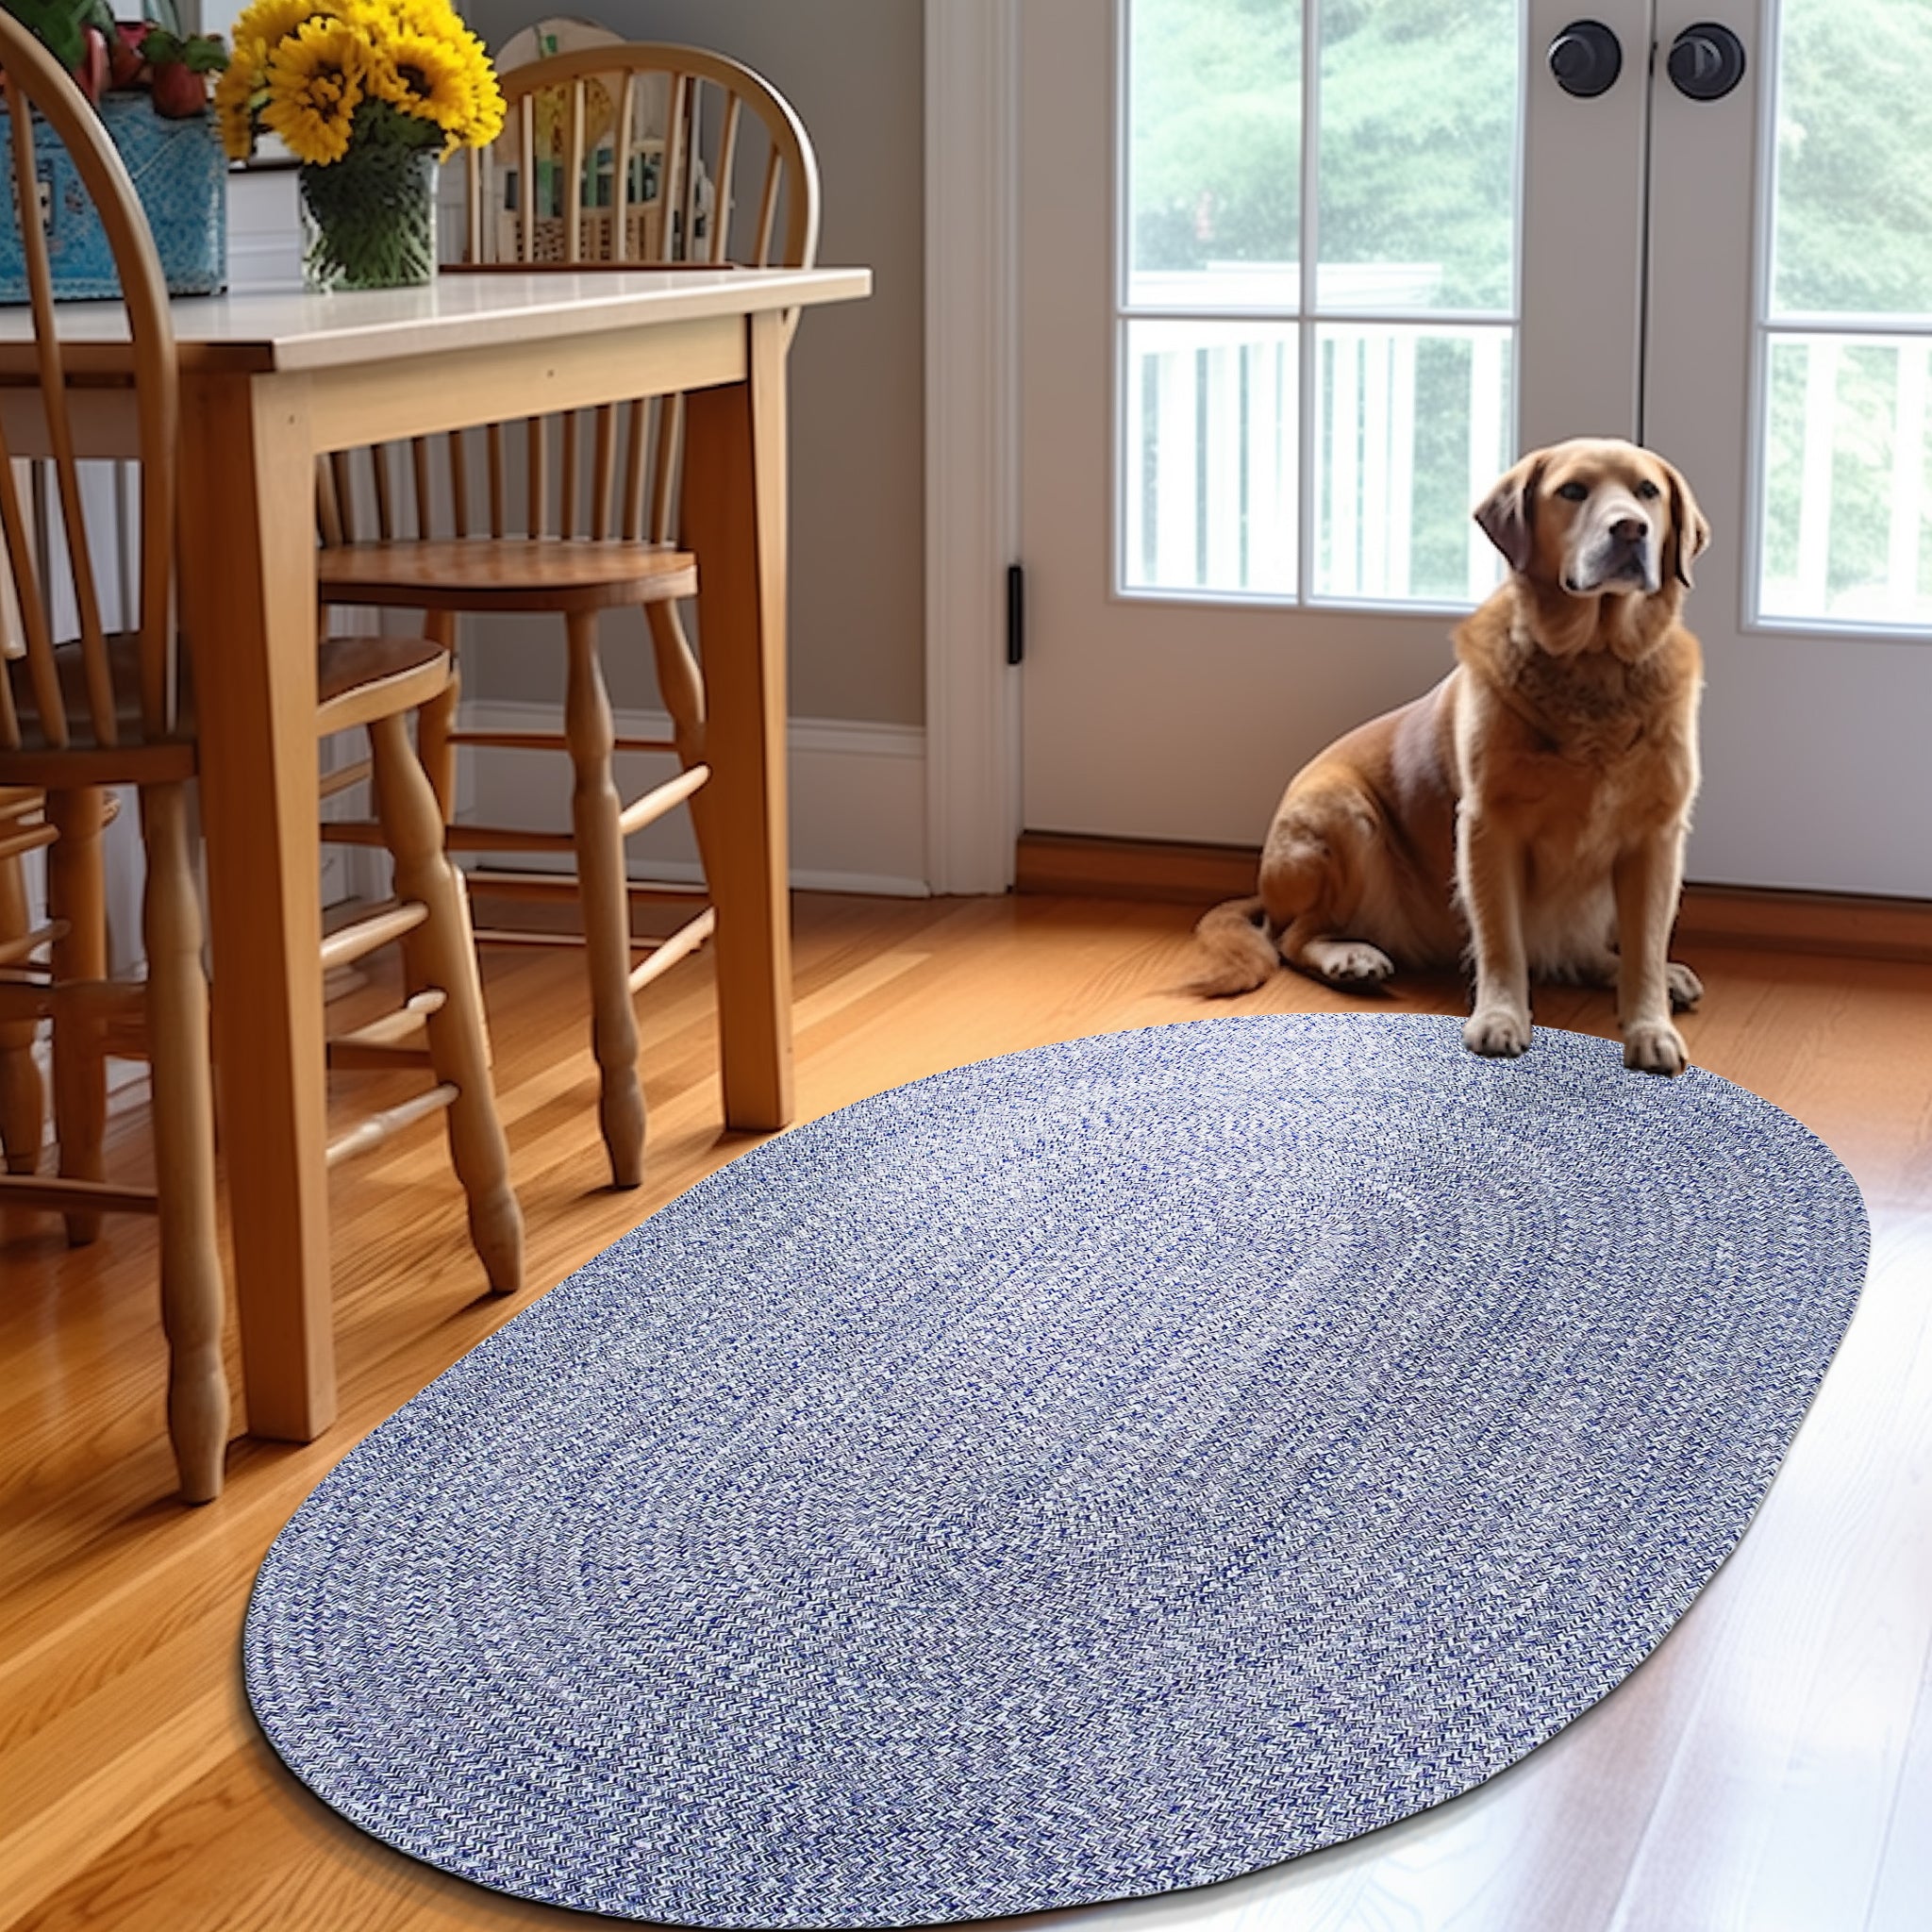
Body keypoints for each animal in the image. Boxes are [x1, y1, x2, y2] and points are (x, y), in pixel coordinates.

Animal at [1197, 434, 1715, 1074]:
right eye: (1572, 491)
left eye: (1647, 491)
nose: (1630, 529)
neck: (1595, 667)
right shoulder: (1488, 827)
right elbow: (1502, 942)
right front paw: (1500, 1017)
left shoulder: (1656, 836)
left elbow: (1644, 944)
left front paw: (1650, 1025)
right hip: (1345, 816)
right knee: (1291, 936)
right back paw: (1350, 957)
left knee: (1588, 950)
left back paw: (1654, 974)